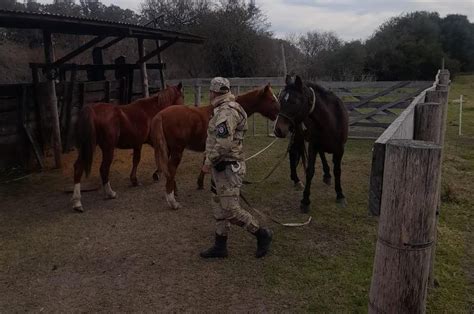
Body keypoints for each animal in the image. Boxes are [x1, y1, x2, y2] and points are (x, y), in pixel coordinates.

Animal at [71, 83, 184, 212]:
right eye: (182, 96)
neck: (153, 110)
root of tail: (92, 110)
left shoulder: (138, 144)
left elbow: (136, 160)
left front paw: (135, 180)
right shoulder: (156, 142)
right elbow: (159, 158)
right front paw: (158, 174)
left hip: (87, 148)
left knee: (78, 167)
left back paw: (77, 202)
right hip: (108, 149)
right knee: (104, 169)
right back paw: (110, 193)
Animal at [151, 84, 282, 210]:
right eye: (271, 100)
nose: (279, 118)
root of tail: (161, 114)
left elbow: (206, 162)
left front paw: (201, 183)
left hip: (167, 149)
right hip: (177, 150)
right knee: (171, 169)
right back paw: (172, 202)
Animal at [274, 76, 348, 213]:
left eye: (294, 102)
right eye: (280, 100)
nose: (278, 129)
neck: (331, 120)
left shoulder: (340, 149)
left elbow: (337, 170)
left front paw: (340, 194)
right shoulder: (313, 145)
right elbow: (310, 171)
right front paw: (305, 201)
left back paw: (326, 175)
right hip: (297, 135)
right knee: (293, 153)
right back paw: (296, 180)